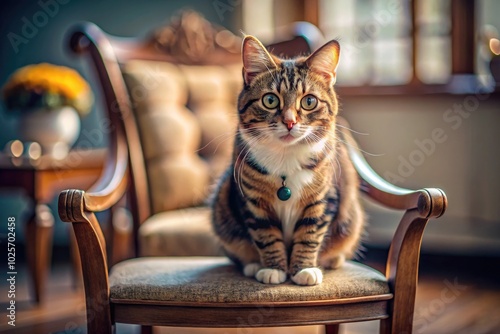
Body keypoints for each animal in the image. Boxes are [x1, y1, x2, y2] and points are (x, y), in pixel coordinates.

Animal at [209, 35, 366, 286]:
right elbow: (266, 235)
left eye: (309, 101)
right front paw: (274, 269)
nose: (290, 122)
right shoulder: (253, 201)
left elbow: (310, 233)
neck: (286, 156)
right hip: (222, 208)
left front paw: (304, 269)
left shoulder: (323, 198)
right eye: (270, 100)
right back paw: (253, 265)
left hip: (350, 218)